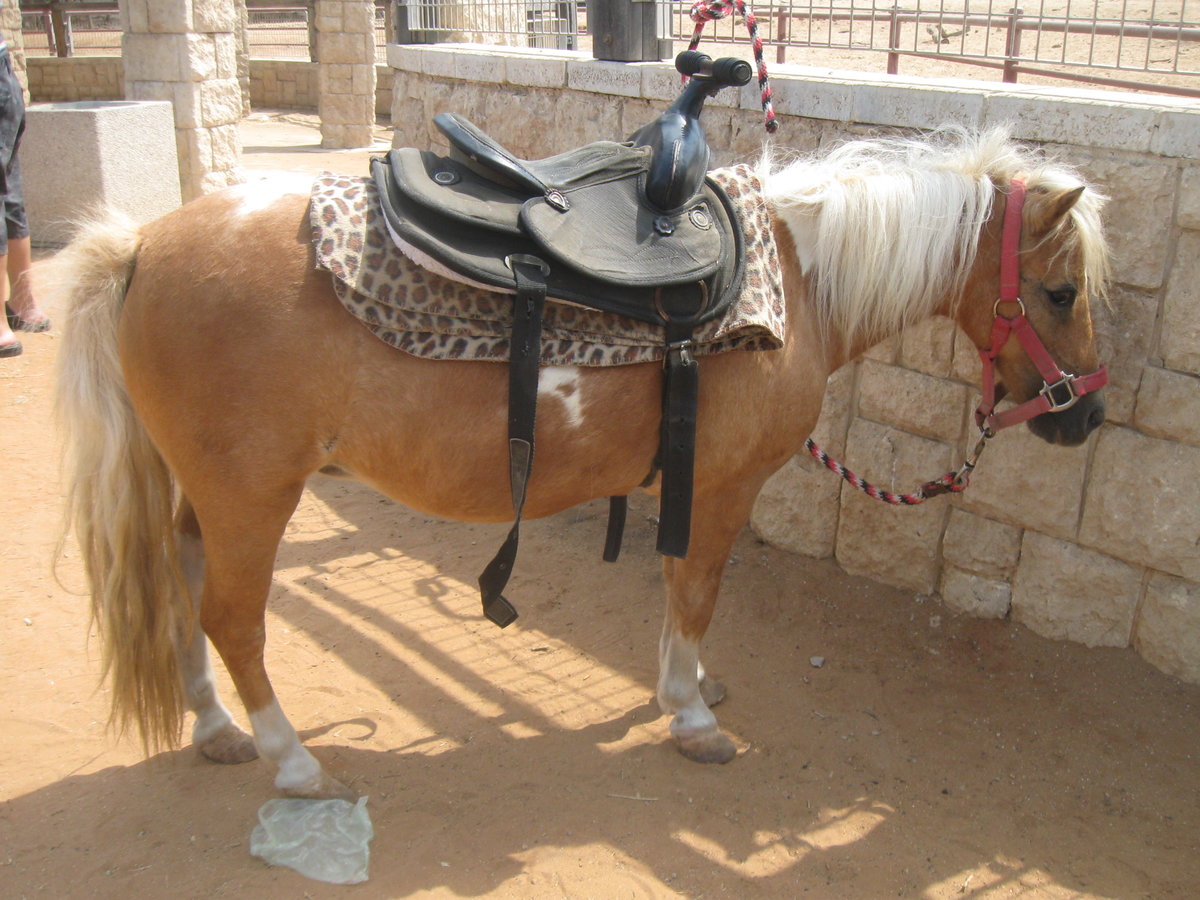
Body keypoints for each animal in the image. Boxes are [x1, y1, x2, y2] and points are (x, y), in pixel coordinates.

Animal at [53, 127, 1110, 800]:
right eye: (1060, 291)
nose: (1088, 414)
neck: (796, 279)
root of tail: (141, 243)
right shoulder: (723, 489)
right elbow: (697, 591)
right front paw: (689, 716)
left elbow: (677, 588)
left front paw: (687, 687)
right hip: (254, 498)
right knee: (232, 617)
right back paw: (296, 762)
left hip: (208, 496)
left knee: (180, 575)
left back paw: (217, 730)